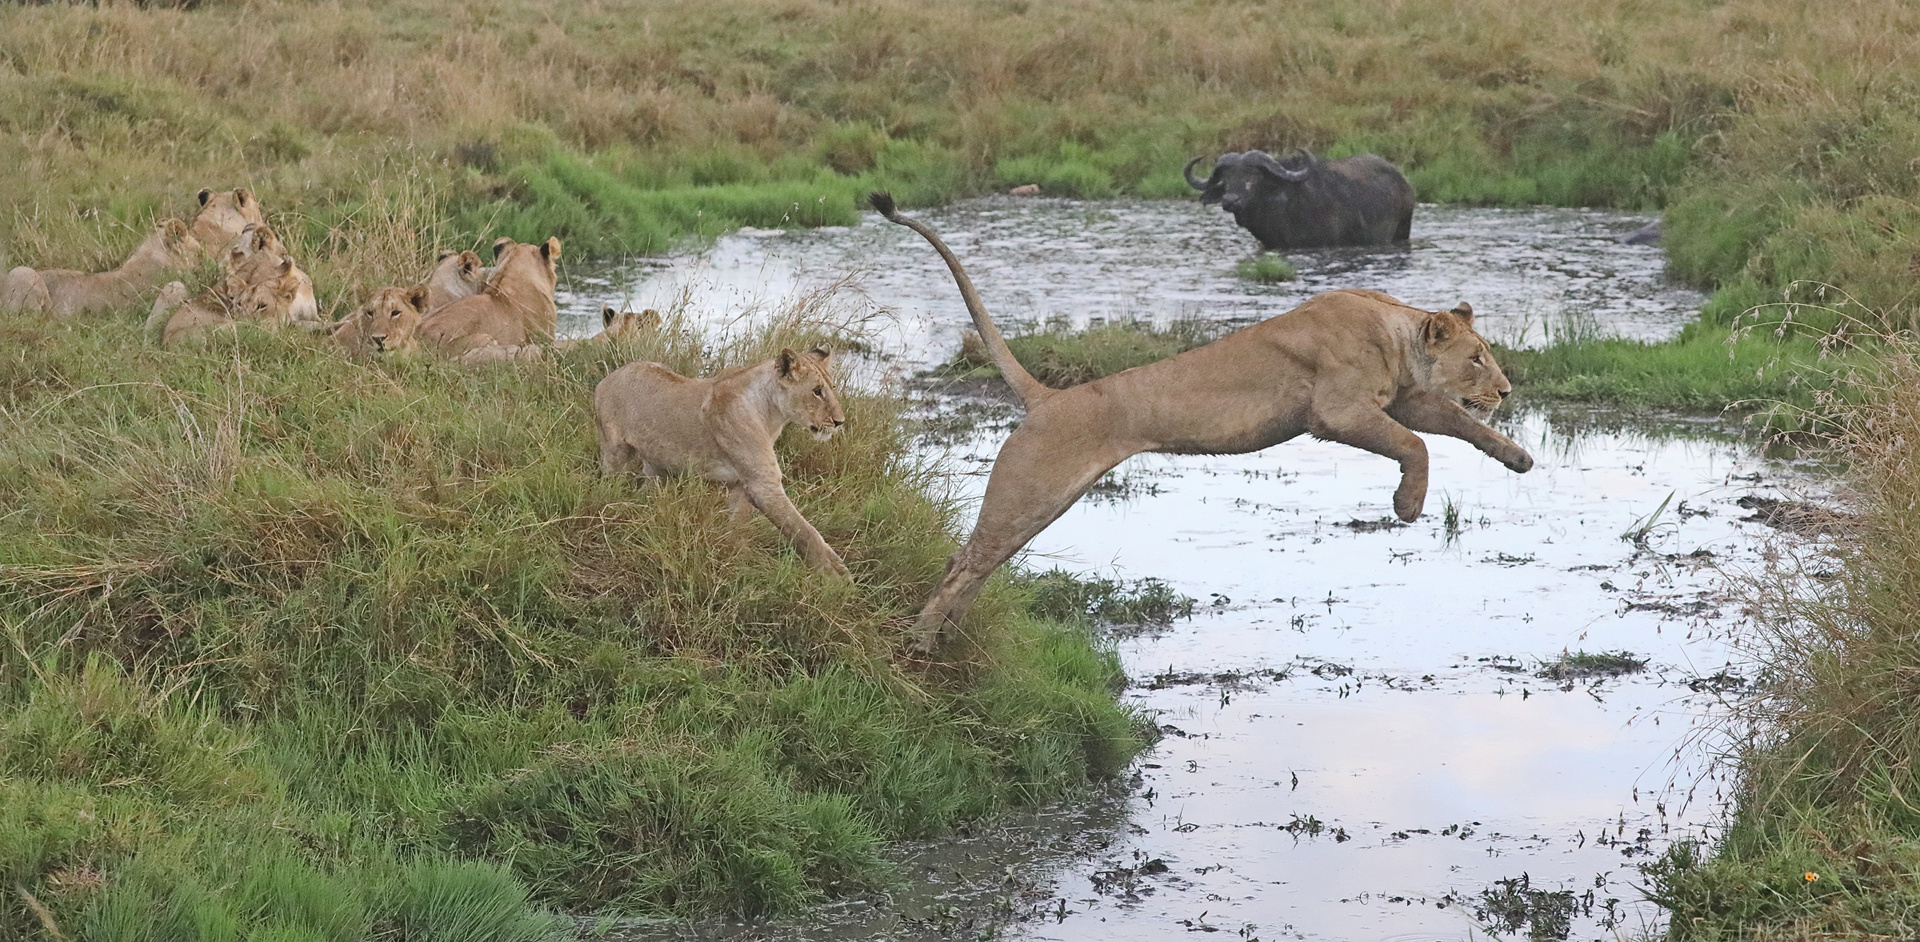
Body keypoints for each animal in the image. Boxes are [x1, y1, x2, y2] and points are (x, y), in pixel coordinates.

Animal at [591, 347, 848, 579]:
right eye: (817, 391)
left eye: (832, 389)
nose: (840, 422)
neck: (772, 415)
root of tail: (609, 376)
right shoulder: (763, 484)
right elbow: (804, 530)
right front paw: (836, 575)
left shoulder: (743, 485)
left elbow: (738, 526)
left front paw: (737, 556)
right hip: (615, 453)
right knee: (609, 484)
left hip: (656, 467)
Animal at [879, 188, 1536, 652]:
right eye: (1477, 358)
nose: (1506, 389)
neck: (1395, 330)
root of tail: (1046, 398)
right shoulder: (1338, 410)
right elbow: (1414, 446)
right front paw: (1407, 506)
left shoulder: (1401, 399)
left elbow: (1459, 426)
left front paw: (1519, 457)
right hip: (1030, 489)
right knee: (965, 562)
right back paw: (922, 643)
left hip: (1042, 502)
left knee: (976, 563)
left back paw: (950, 637)